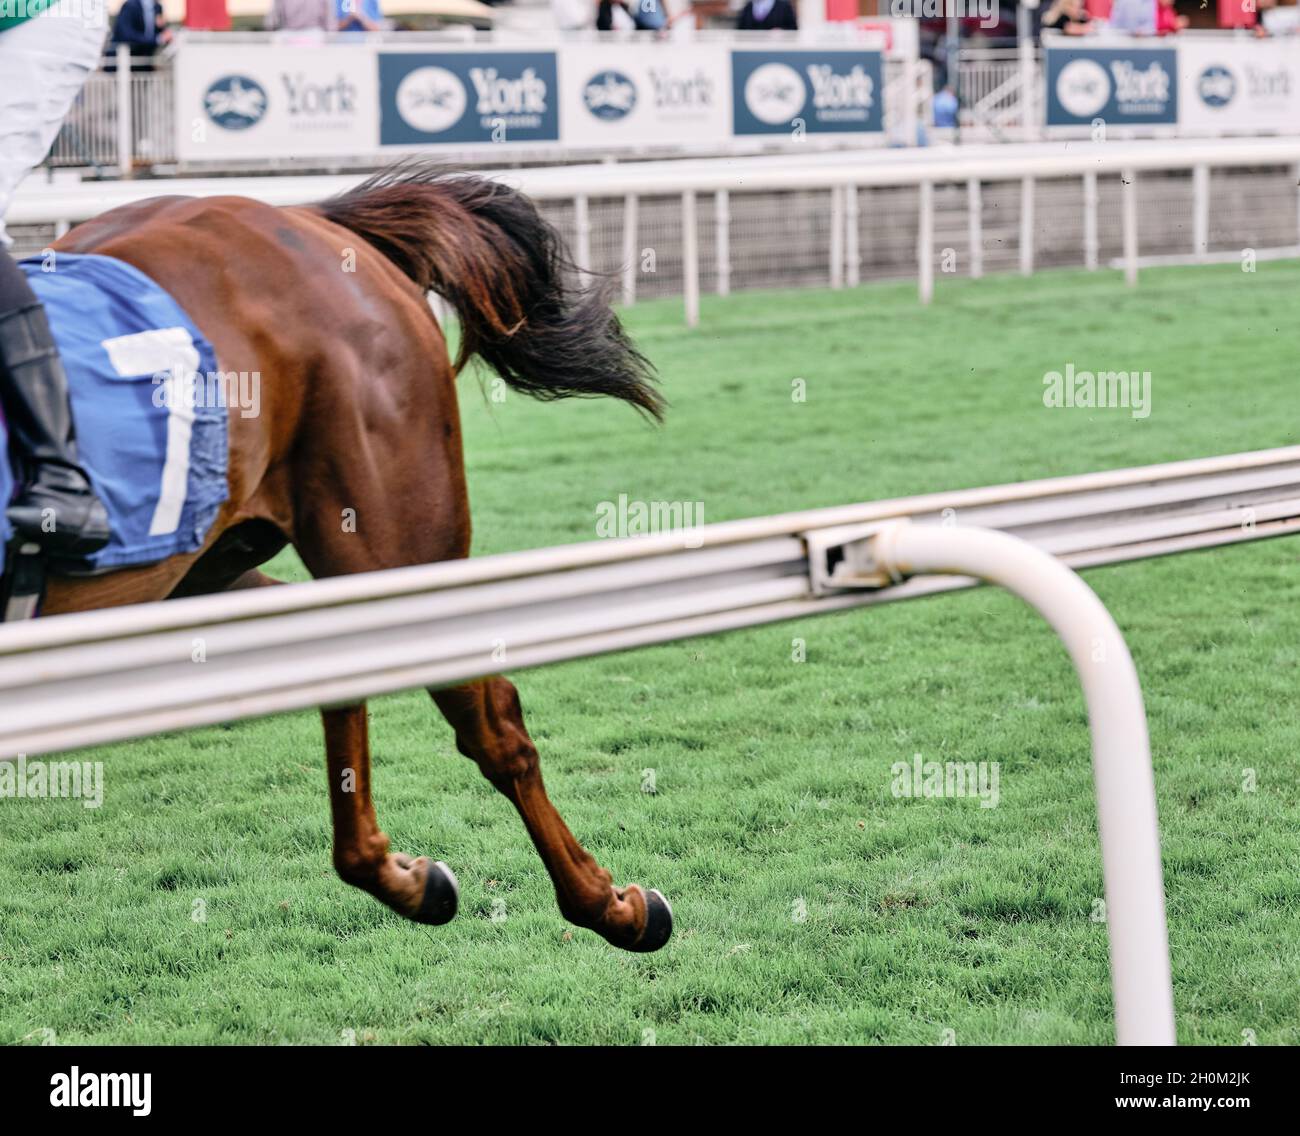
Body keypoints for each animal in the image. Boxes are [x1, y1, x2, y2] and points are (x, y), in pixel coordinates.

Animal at [36, 163, 676, 951]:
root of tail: (319, 219)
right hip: (197, 565)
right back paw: (419, 878)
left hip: (391, 536)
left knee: (488, 720)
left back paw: (614, 908)